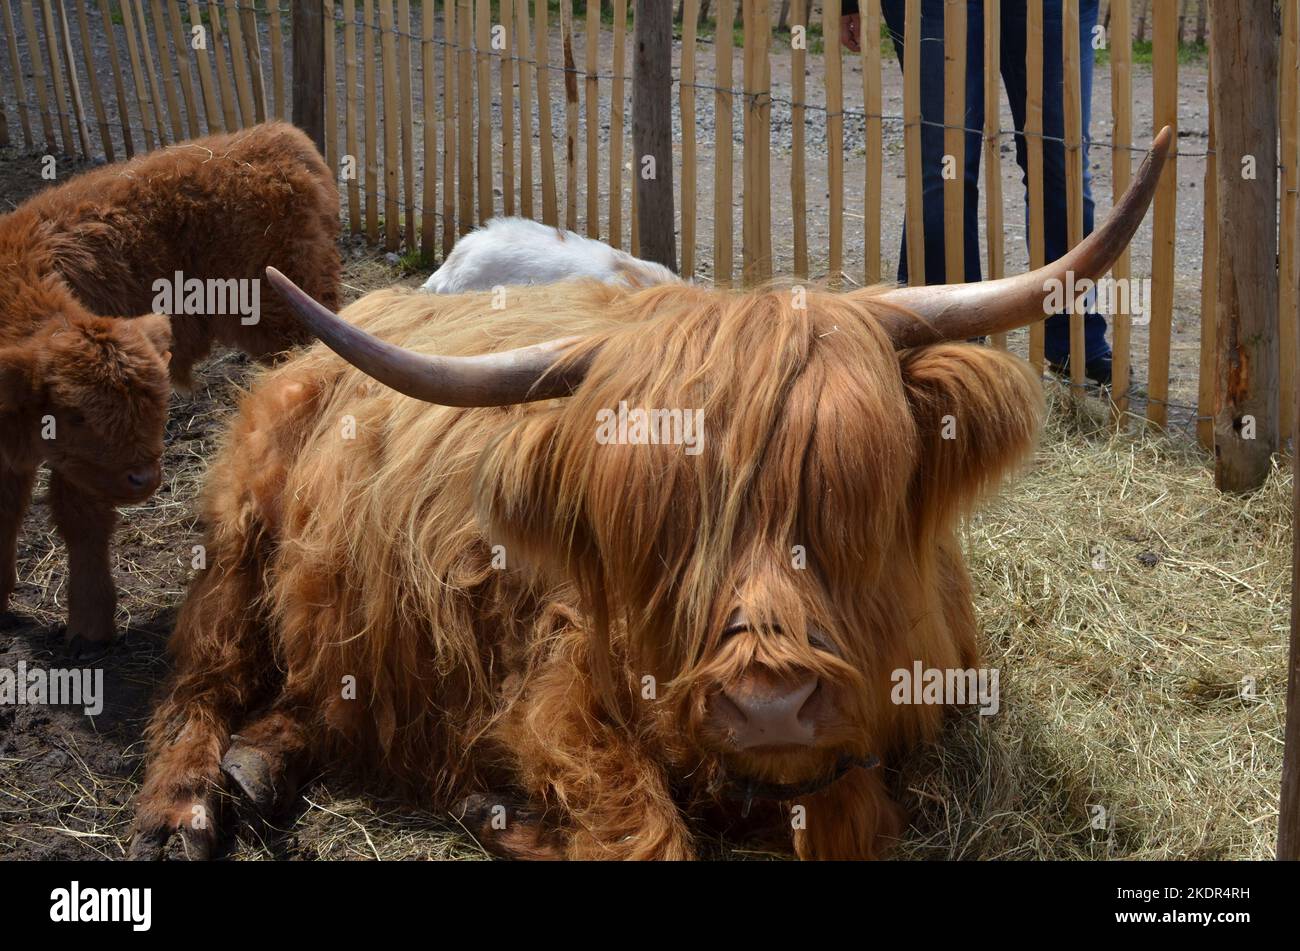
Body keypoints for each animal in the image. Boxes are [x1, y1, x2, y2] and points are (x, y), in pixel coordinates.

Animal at [0, 122, 340, 654]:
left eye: (156, 405)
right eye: (75, 413)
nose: (144, 478)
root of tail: (277, 139)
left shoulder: (81, 473)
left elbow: (81, 523)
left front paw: (88, 629)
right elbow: (7, 512)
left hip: (293, 320)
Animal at [134, 127, 1180, 862]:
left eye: (853, 492)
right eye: (657, 526)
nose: (768, 704)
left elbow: (846, 809)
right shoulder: (560, 692)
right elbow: (647, 830)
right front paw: (496, 808)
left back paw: (261, 762)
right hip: (240, 529)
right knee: (203, 670)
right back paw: (185, 804)